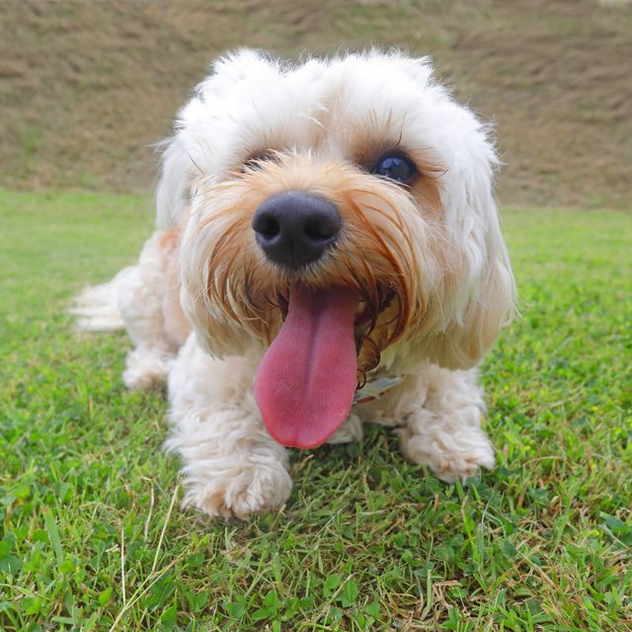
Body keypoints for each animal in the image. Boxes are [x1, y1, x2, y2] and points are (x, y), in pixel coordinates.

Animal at [75, 50, 520, 520]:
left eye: (395, 166)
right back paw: (149, 369)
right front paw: (241, 477)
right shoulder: (207, 371)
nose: (292, 220)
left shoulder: (441, 361)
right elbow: (225, 417)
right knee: (148, 341)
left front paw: (456, 446)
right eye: (255, 162)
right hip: (140, 290)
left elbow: (448, 395)